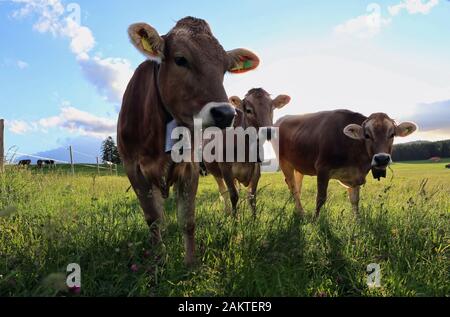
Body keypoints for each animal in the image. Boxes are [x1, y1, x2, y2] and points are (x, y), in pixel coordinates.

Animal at [274, 109, 418, 217]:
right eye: (367, 135)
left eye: (392, 134)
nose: (382, 159)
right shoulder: (322, 169)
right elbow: (320, 198)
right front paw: (315, 221)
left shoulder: (355, 176)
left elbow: (355, 200)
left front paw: (357, 221)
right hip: (284, 161)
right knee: (292, 186)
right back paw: (302, 213)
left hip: (299, 164)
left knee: (297, 186)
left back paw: (298, 211)